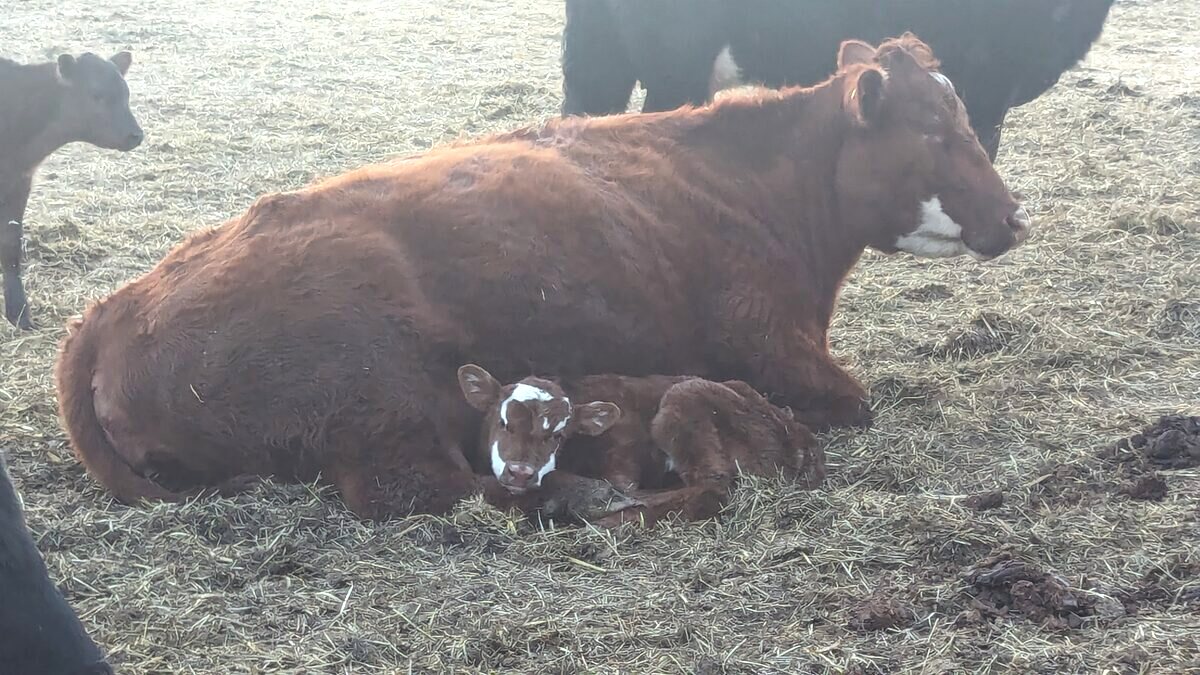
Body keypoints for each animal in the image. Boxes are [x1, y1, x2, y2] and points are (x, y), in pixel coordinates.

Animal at [1, 51, 144, 330]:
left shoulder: (20, 182)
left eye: (126, 94)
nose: (136, 135)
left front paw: (20, 313)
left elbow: (11, 243)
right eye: (96, 94)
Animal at [457, 364, 826, 526]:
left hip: (682, 401)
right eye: (503, 422)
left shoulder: (623, 458)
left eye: (559, 435)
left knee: (713, 486)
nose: (521, 472)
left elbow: (622, 486)